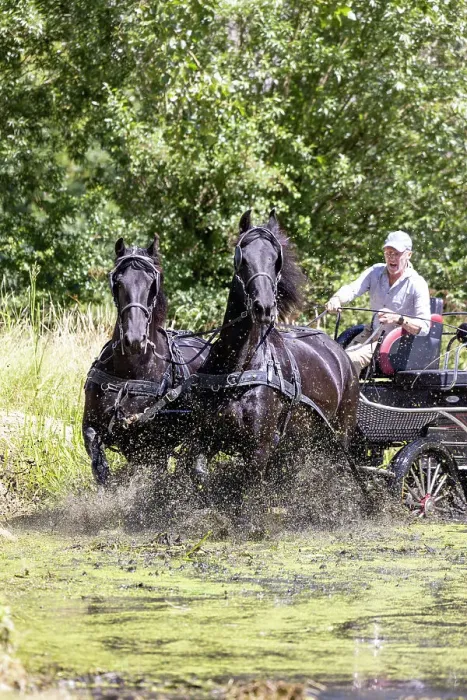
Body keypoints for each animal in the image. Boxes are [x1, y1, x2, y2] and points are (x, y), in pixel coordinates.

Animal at [82, 236, 209, 485]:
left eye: (152, 284)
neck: (129, 375)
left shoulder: (153, 448)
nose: (134, 339)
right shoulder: (92, 426)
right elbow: (99, 465)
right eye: (118, 282)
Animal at [187, 209, 360, 503]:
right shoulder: (205, 435)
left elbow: (246, 496)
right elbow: (199, 474)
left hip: (340, 435)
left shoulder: (260, 450)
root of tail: (340, 353)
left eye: (275, 261)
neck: (238, 369)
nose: (264, 308)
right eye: (242, 257)